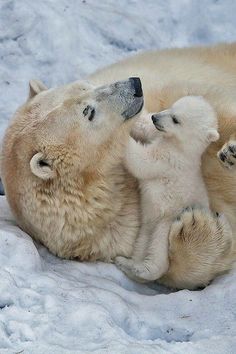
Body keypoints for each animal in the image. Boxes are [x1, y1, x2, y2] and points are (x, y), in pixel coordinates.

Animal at [1, 42, 236, 290]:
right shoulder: (118, 228)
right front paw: (197, 225)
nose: (135, 84)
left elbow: (210, 105)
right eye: (88, 112)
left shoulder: (165, 91)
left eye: (86, 85)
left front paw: (229, 149)